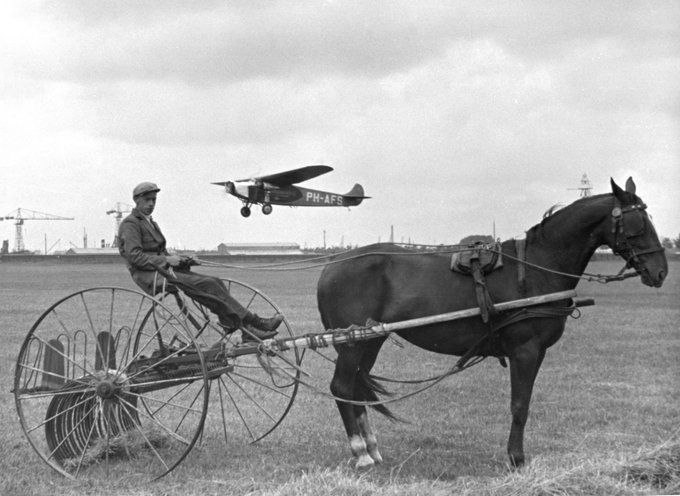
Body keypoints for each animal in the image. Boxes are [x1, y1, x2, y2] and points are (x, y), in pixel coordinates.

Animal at [316, 177, 667, 469]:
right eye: (638, 223)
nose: (660, 271)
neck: (537, 268)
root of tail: (332, 265)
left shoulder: (533, 352)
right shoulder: (526, 350)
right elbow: (520, 405)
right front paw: (516, 458)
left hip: (370, 340)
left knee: (355, 388)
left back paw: (372, 449)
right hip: (354, 343)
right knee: (341, 387)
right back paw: (361, 453)